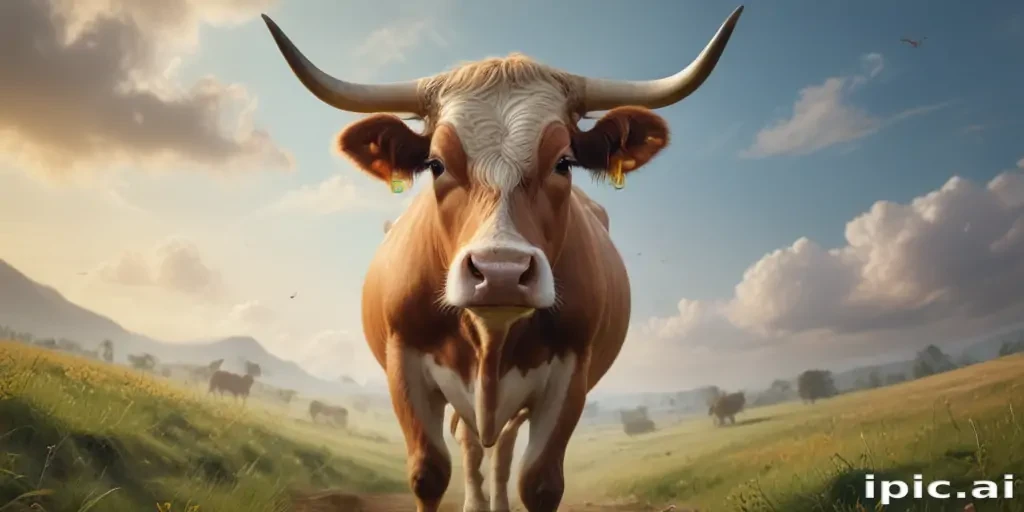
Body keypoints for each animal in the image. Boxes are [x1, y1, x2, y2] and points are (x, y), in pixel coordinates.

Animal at [261, 6, 743, 511]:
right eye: (436, 164)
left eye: (563, 162)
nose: (501, 273)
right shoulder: (403, 362)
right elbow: (429, 473)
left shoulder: (570, 373)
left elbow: (539, 480)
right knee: (473, 443)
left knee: (502, 449)